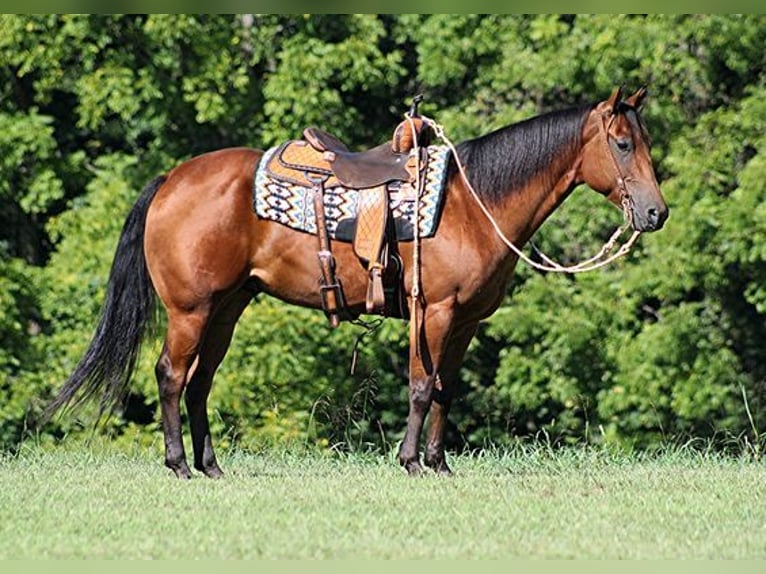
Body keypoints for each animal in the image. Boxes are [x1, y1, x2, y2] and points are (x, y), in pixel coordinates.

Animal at [45, 86, 668, 478]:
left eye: (646, 143)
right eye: (622, 144)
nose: (656, 213)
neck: (474, 204)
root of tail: (172, 178)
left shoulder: (465, 321)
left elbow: (445, 389)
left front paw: (439, 463)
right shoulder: (433, 312)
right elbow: (421, 385)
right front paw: (412, 462)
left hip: (226, 309)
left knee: (199, 383)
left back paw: (212, 466)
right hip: (191, 311)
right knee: (172, 376)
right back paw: (178, 465)